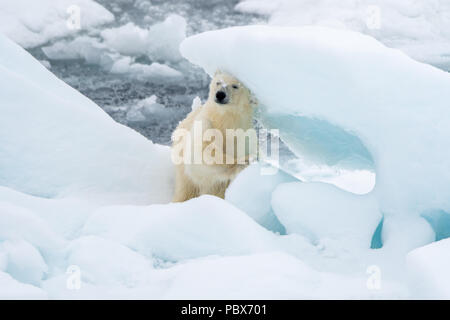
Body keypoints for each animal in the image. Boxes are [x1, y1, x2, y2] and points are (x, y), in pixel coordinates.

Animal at [171, 71, 256, 201]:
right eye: (218, 82)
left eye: (235, 86)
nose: (220, 94)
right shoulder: (205, 124)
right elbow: (203, 152)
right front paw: (244, 161)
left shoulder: (245, 137)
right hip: (185, 177)